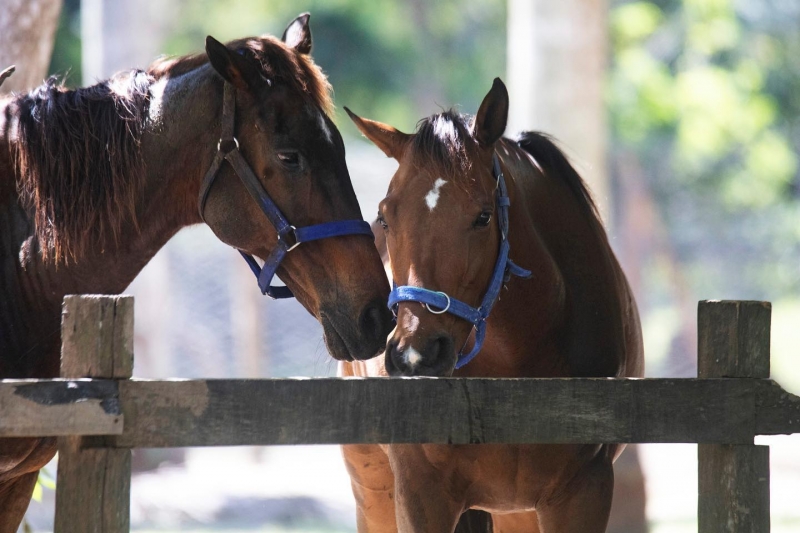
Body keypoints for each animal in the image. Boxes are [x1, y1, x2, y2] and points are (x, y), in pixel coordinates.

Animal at [338, 79, 644, 532]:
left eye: (483, 217)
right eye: (385, 217)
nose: (415, 355)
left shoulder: (582, 492)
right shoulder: (420, 494)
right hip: (375, 496)